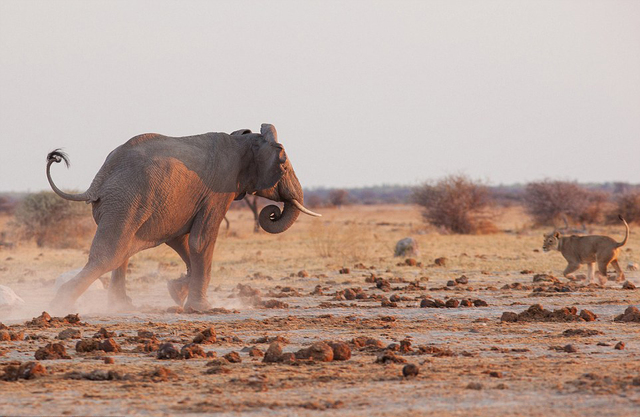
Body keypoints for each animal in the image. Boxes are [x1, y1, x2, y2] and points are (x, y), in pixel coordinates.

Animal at [46, 123, 320, 312]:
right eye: (283, 166)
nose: (273, 211)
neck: (243, 139)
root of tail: (99, 179)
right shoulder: (219, 190)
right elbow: (201, 240)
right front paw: (202, 309)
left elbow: (181, 240)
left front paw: (176, 293)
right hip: (125, 200)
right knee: (110, 255)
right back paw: (61, 306)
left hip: (122, 203)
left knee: (121, 253)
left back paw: (121, 307)